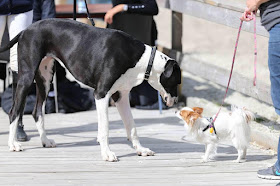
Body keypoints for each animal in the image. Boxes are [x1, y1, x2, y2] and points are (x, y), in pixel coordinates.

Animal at [1, 18, 180, 161]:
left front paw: (141, 150)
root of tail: (26, 30)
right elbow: (105, 127)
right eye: (176, 82)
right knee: (14, 112)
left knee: (37, 111)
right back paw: (13, 144)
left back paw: (45, 141)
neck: (141, 59)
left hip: (45, 78)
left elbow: (132, 126)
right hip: (26, 78)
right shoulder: (101, 95)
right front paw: (107, 153)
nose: (176, 100)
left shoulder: (121, 97)